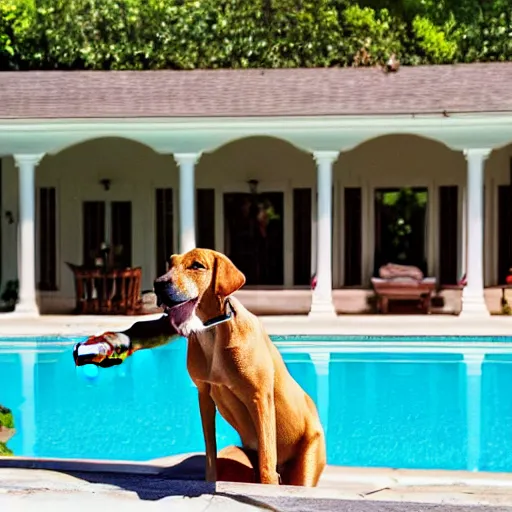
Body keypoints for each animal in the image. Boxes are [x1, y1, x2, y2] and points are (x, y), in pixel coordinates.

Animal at [152, 250, 326, 486]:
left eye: (197, 266)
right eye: (170, 264)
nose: (158, 284)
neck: (214, 330)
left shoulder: (260, 398)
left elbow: (267, 462)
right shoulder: (204, 396)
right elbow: (210, 457)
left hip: (307, 460)